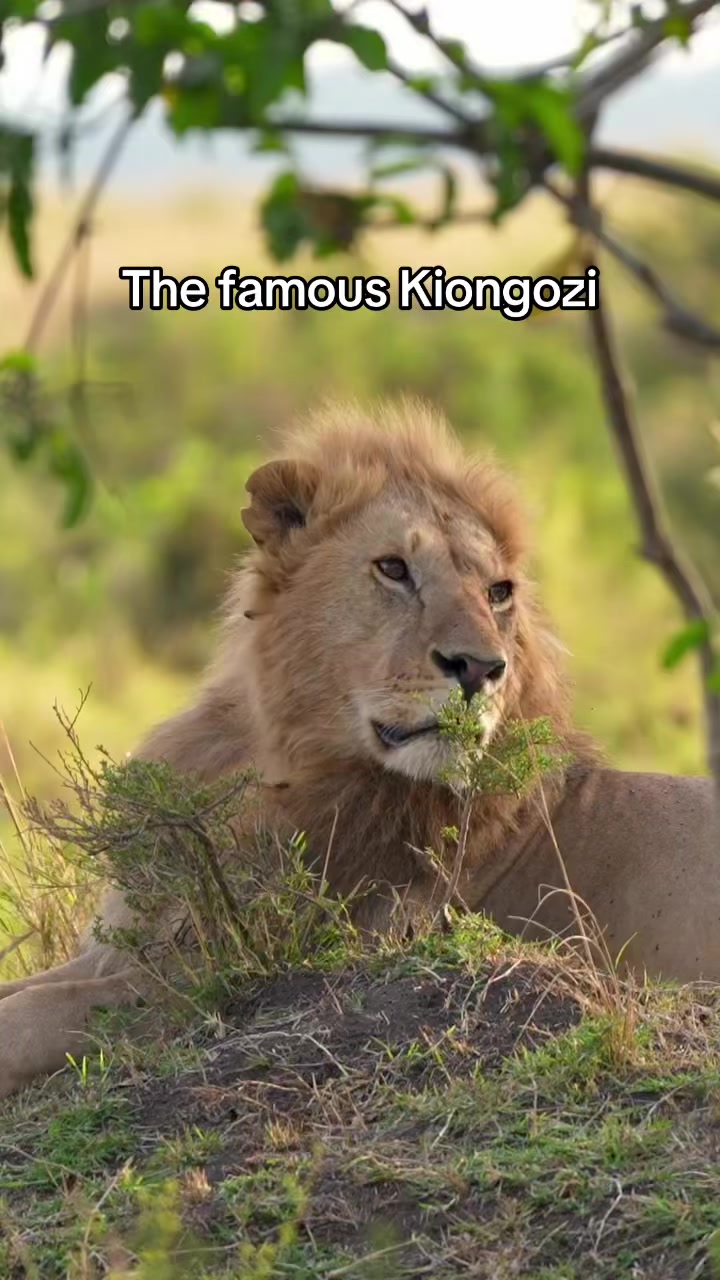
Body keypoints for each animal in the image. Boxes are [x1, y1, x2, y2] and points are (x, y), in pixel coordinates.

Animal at [0, 399, 718, 1101]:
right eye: (393, 568)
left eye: (498, 592)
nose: (482, 669)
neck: (279, 756)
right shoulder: (135, 942)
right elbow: (29, 988)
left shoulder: (230, 973)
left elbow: (38, 1015)